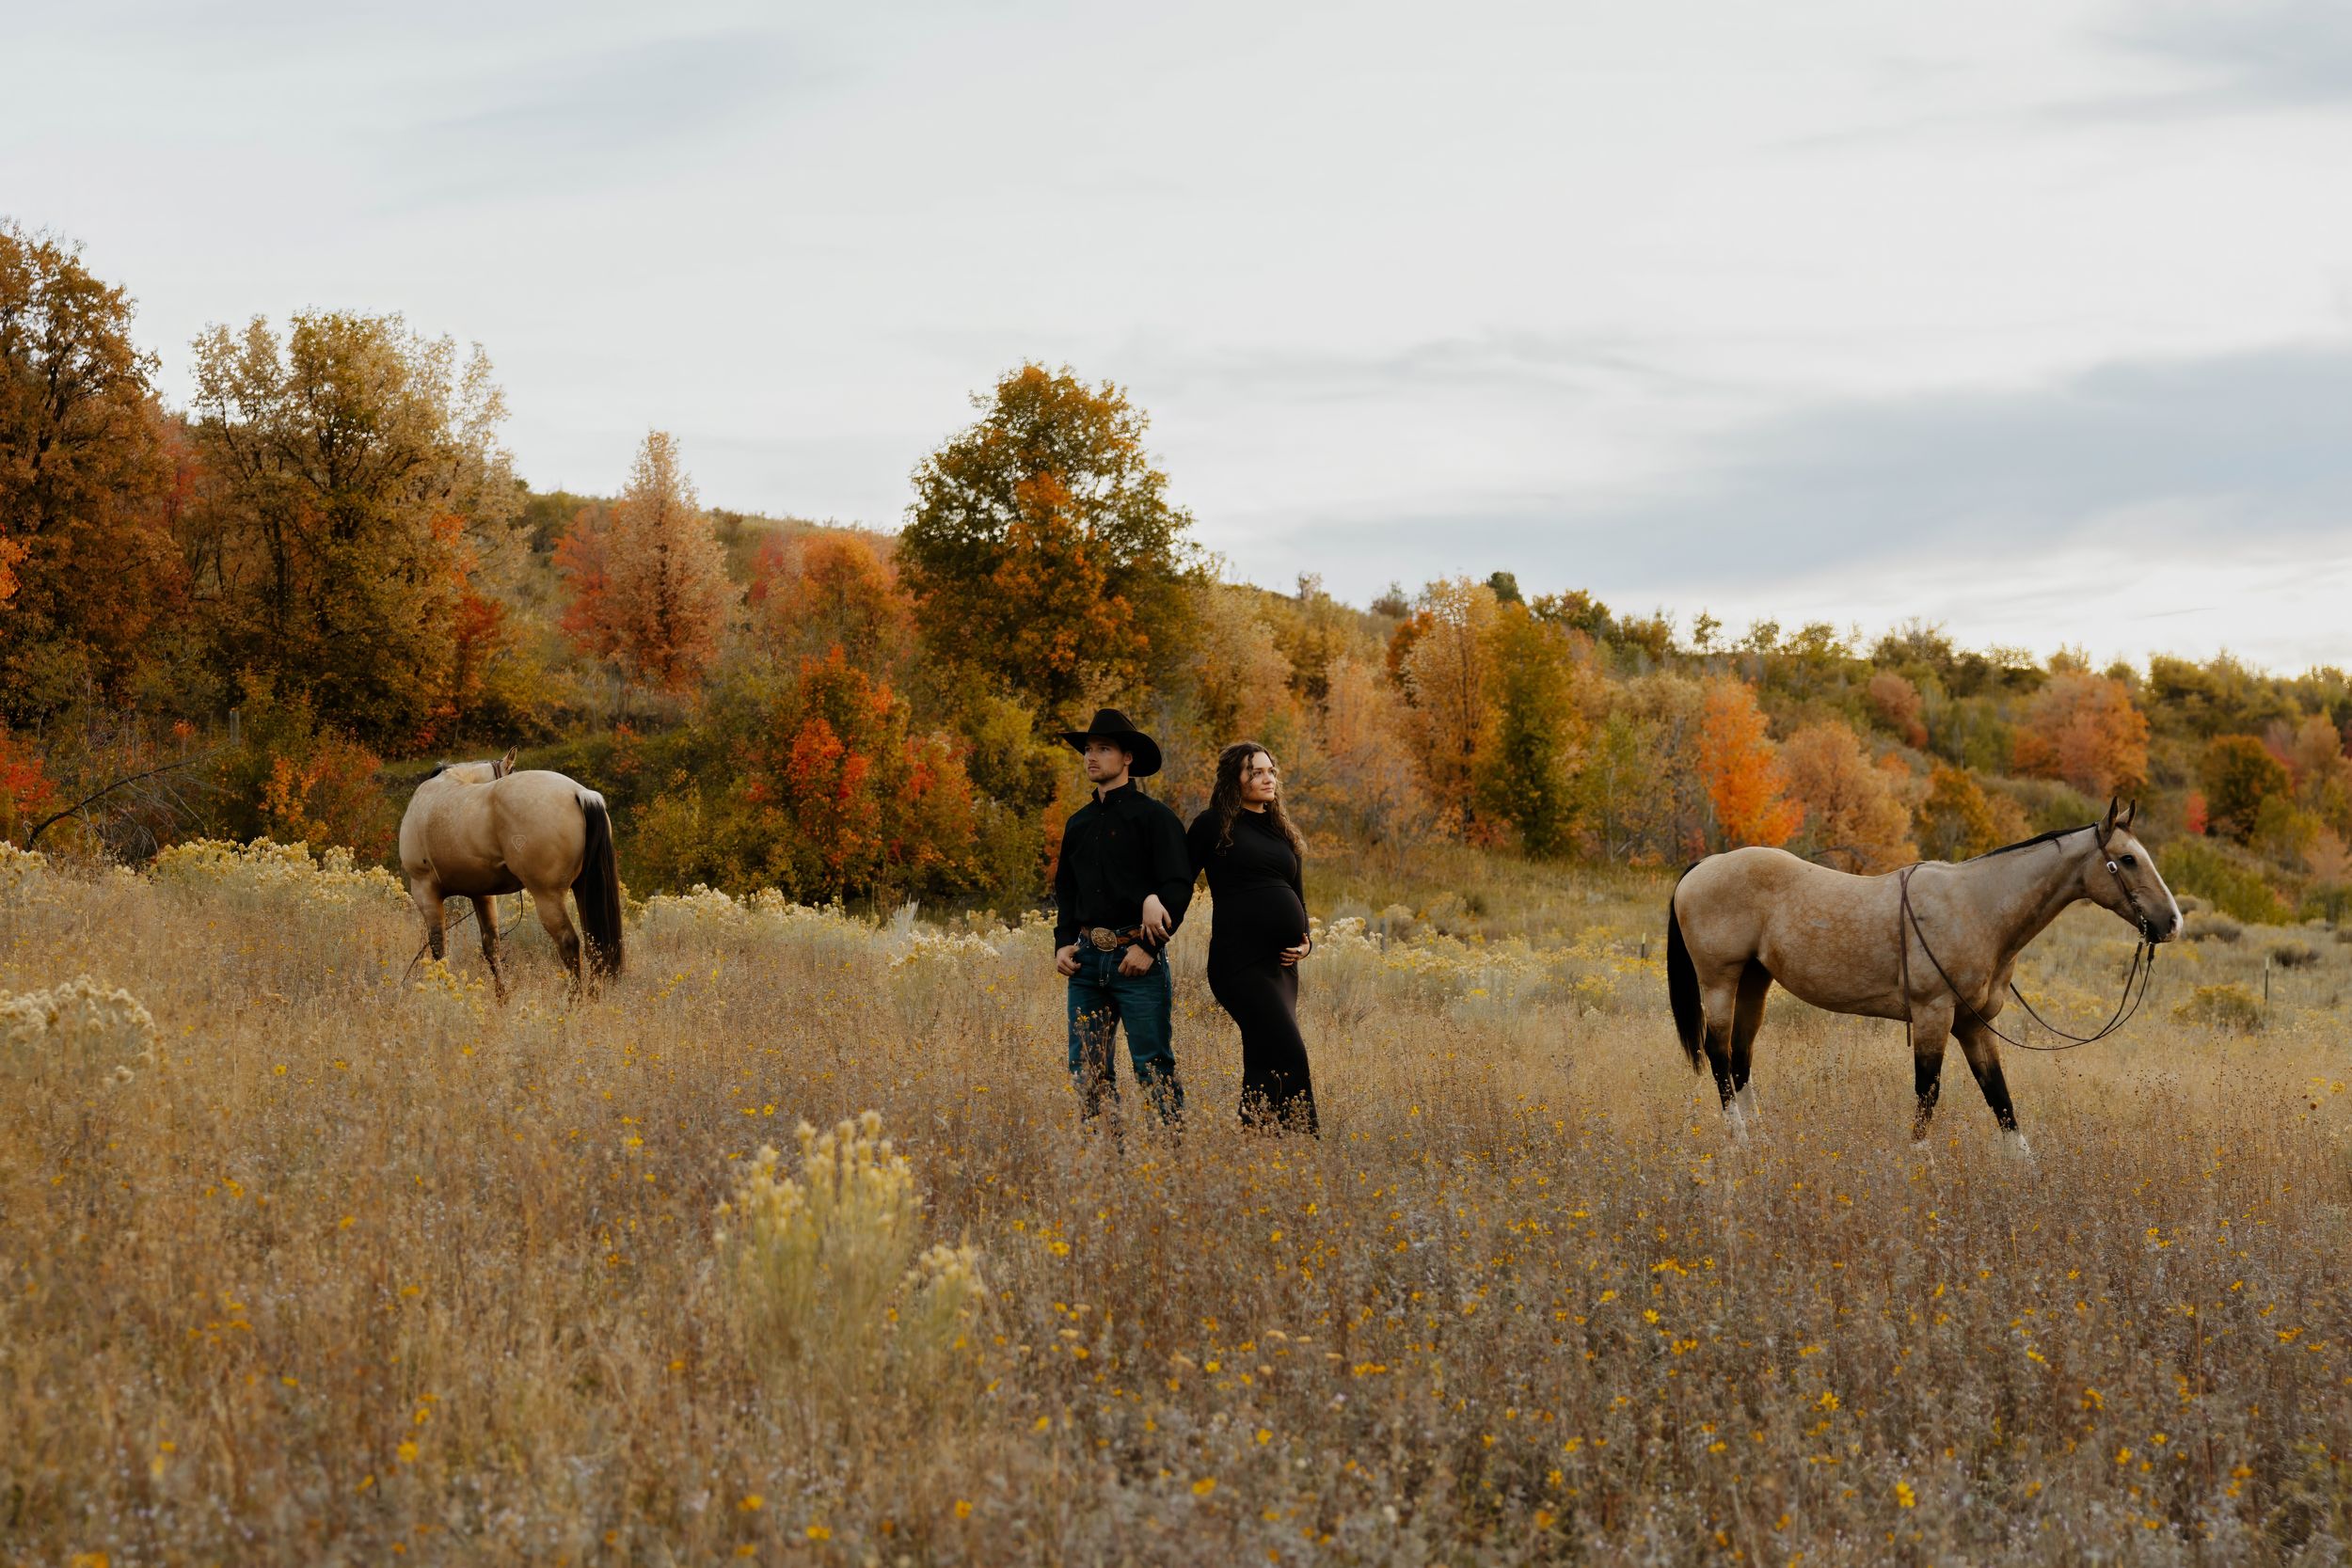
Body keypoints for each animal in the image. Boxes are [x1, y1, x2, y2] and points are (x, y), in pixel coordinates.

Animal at [397, 749, 624, 997]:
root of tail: (579, 793)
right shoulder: (481, 895)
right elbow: (491, 946)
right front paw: (502, 997)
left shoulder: (425, 890)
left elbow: (439, 948)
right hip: (583, 890)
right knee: (595, 947)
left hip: (548, 897)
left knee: (569, 943)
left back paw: (575, 1000)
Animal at [1665, 797, 2181, 1154]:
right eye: (2128, 859)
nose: (2172, 922)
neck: (1976, 907)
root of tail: (1703, 866)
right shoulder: (1934, 1015)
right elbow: (1928, 1093)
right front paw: (1920, 1164)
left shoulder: (1974, 1024)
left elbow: (2000, 1099)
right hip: (1720, 981)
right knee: (1719, 1054)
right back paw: (1740, 1140)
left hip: (1755, 981)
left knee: (1741, 1057)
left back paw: (1761, 1137)